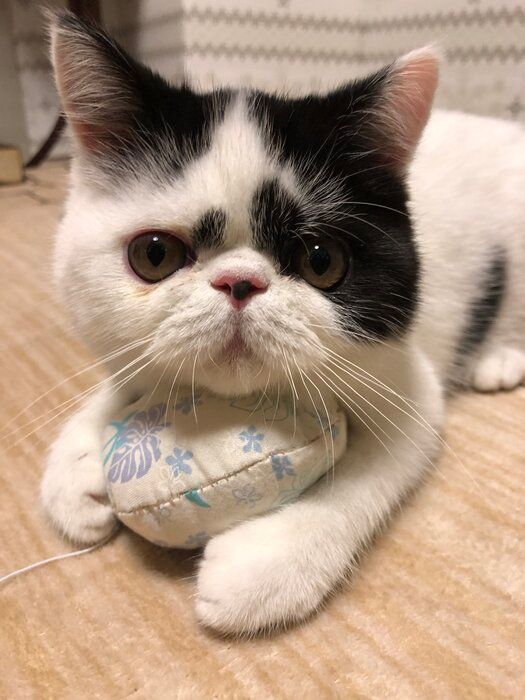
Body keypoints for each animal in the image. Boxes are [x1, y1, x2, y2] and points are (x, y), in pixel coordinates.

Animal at [41, 11, 525, 635]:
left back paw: (499, 357)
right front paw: (76, 460)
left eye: (322, 261)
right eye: (154, 254)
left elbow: (371, 469)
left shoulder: (406, 381)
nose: (240, 281)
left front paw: (266, 565)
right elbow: (128, 373)